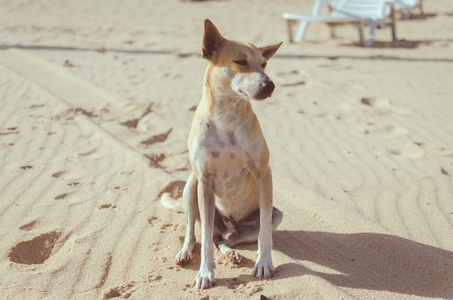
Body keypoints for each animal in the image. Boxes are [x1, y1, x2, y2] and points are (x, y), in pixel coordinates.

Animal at [174, 19, 282, 288]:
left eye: (264, 64)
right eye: (240, 61)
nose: (270, 85)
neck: (227, 118)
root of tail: (228, 225)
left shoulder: (263, 173)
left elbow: (264, 232)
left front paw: (264, 263)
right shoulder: (204, 181)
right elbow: (203, 241)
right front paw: (205, 273)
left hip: (271, 217)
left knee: (223, 239)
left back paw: (232, 252)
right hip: (191, 186)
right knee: (196, 232)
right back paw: (186, 252)